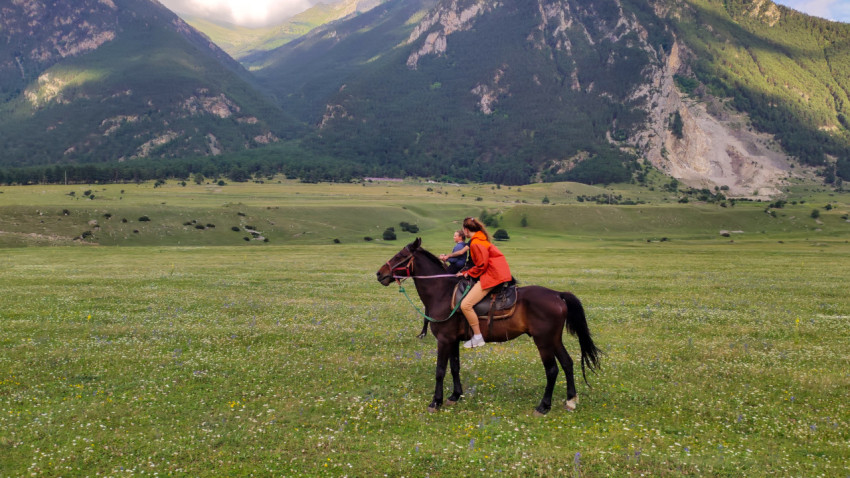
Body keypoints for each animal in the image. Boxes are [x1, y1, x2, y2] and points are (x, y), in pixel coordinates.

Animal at [376, 238, 601, 415]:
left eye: (401, 256)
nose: (379, 274)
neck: (442, 293)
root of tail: (557, 295)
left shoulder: (444, 340)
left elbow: (440, 370)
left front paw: (435, 402)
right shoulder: (453, 340)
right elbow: (455, 367)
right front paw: (455, 395)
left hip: (543, 341)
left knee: (552, 369)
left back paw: (543, 406)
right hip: (554, 339)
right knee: (568, 363)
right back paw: (570, 401)